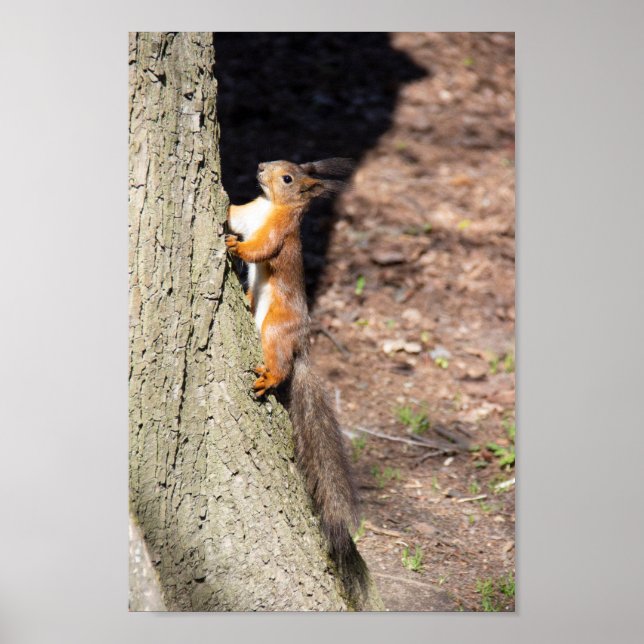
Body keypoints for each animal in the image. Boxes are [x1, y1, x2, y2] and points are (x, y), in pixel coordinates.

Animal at [225, 158, 368, 602]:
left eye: (288, 178)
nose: (260, 166)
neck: (269, 204)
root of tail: (301, 343)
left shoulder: (279, 232)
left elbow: (261, 249)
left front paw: (236, 249)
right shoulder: (247, 214)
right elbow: (233, 216)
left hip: (276, 327)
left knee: (281, 364)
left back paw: (269, 378)